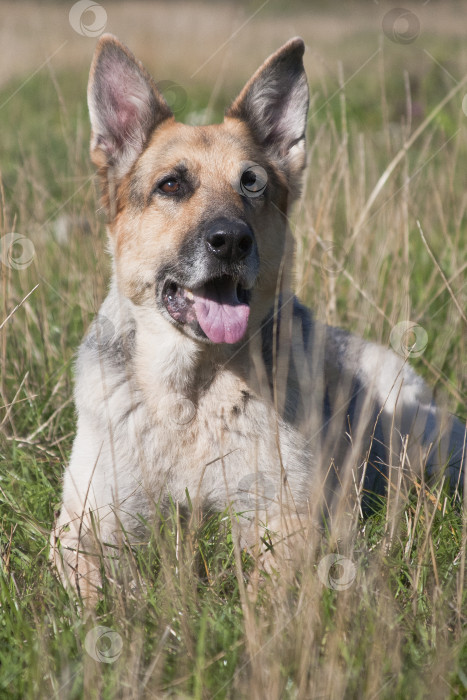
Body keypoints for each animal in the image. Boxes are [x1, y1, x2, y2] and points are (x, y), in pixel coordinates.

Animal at [50, 35, 464, 600]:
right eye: (171, 185)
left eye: (252, 184)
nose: (231, 241)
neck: (193, 394)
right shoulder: (86, 520)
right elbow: (95, 589)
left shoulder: (285, 516)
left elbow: (270, 587)